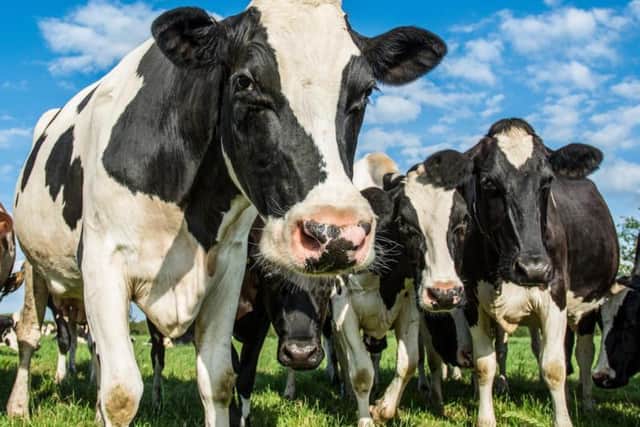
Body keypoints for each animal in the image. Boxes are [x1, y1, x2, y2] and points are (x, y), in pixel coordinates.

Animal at [8, 2, 446, 425]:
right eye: (245, 82)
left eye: (366, 91)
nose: (335, 234)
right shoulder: (103, 262)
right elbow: (119, 394)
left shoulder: (228, 272)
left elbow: (219, 381)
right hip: (34, 267)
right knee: (30, 335)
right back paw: (18, 405)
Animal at [460, 118, 618, 427]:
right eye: (488, 182)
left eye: (547, 181)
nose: (533, 268)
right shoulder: (474, 301)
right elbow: (485, 364)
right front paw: (486, 417)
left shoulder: (555, 295)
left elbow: (554, 367)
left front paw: (563, 419)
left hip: (588, 305)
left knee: (582, 353)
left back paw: (587, 401)